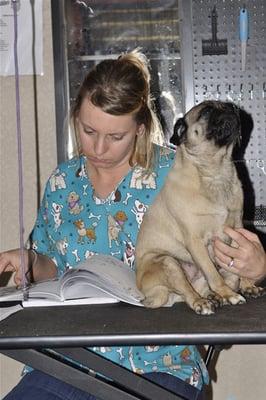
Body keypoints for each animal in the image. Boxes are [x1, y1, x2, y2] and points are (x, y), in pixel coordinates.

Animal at [136, 100, 262, 316]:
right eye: (207, 111)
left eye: (229, 106)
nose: (233, 109)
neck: (215, 170)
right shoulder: (195, 241)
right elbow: (213, 274)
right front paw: (229, 294)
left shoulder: (238, 231)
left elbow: (239, 268)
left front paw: (247, 286)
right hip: (168, 263)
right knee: (188, 292)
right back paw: (203, 302)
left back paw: (214, 297)